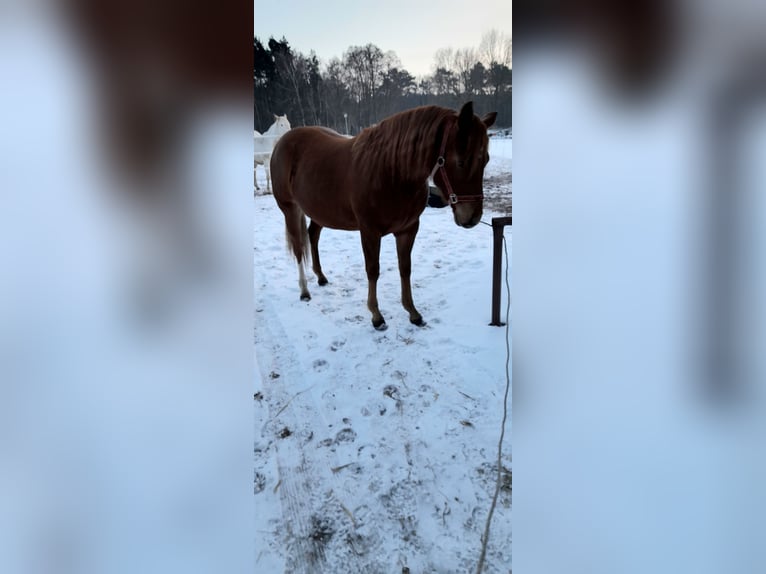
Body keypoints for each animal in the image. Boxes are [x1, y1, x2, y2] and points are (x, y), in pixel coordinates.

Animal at [270, 101, 496, 330]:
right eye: (461, 161)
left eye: (486, 159)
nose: (472, 217)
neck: (389, 170)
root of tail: (282, 142)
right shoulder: (369, 232)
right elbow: (373, 270)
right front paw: (377, 316)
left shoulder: (408, 230)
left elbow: (405, 268)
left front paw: (413, 313)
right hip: (290, 208)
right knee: (299, 247)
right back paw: (304, 291)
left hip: (320, 211)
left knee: (313, 235)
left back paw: (321, 277)